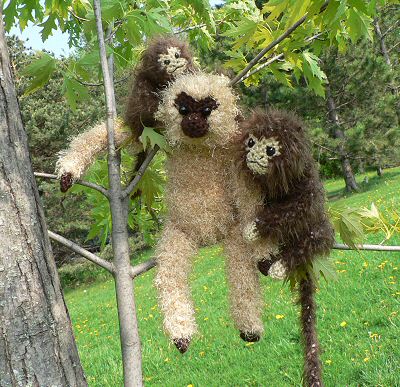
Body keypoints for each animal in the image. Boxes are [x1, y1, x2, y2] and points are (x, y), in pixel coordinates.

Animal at [56, 35, 195, 190]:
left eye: (176, 55)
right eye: (166, 61)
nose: (176, 63)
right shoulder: (142, 87)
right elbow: (147, 110)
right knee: (86, 143)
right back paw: (67, 174)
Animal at [239, 109, 336, 387]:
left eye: (271, 149)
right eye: (251, 141)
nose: (253, 155)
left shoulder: (306, 193)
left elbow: (288, 213)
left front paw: (253, 228)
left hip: (318, 233)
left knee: (304, 247)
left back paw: (279, 267)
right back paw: (266, 263)